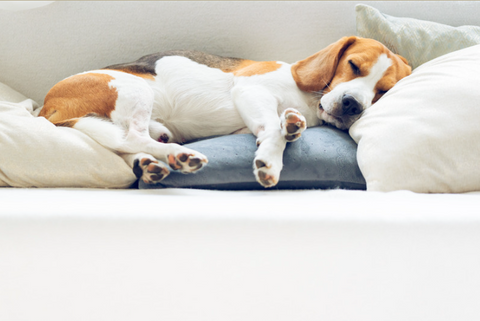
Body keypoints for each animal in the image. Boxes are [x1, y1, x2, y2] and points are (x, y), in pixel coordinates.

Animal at [38, 36, 412, 188]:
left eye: (384, 91)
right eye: (353, 65)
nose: (353, 105)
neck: (310, 100)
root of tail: (47, 107)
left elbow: (277, 125)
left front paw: (292, 124)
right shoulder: (250, 90)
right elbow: (273, 132)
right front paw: (270, 161)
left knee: (127, 144)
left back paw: (155, 165)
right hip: (134, 89)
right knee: (132, 136)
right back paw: (181, 156)